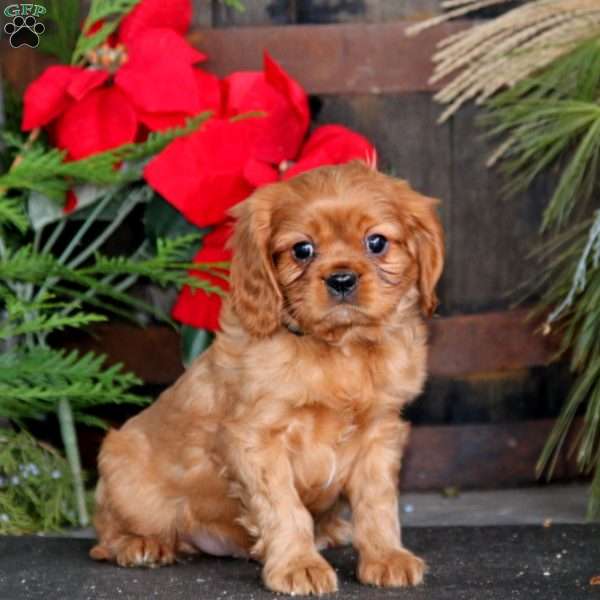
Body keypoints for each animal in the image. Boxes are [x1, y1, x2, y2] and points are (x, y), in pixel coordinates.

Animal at [90, 161, 446, 596]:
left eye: (376, 242)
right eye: (302, 250)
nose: (342, 280)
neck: (338, 350)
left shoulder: (380, 434)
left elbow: (378, 502)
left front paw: (386, 557)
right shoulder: (256, 439)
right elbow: (284, 507)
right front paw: (298, 566)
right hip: (125, 474)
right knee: (105, 535)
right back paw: (139, 544)